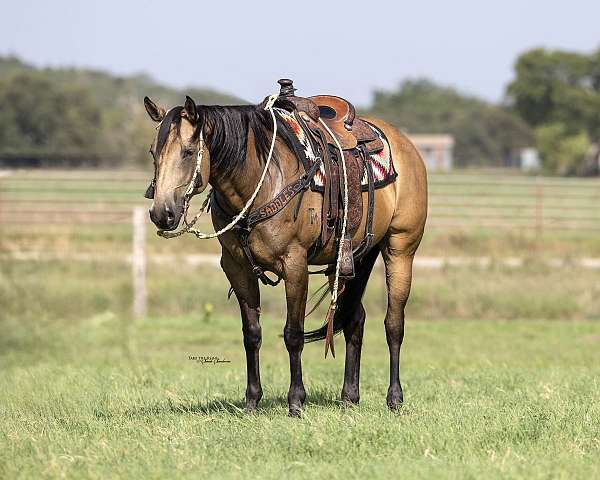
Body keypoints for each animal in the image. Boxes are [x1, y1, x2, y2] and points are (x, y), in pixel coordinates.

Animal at [144, 79, 428, 416]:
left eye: (188, 152)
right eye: (153, 152)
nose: (162, 213)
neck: (262, 181)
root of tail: (404, 143)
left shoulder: (294, 265)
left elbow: (293, 334)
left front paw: (295, 401)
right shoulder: (236, 267)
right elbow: (251, 334)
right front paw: (252, 400)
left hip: (400, 249)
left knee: (394, 324)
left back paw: (395, 397)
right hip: (354, 258)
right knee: (354, 319)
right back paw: (349, 396)